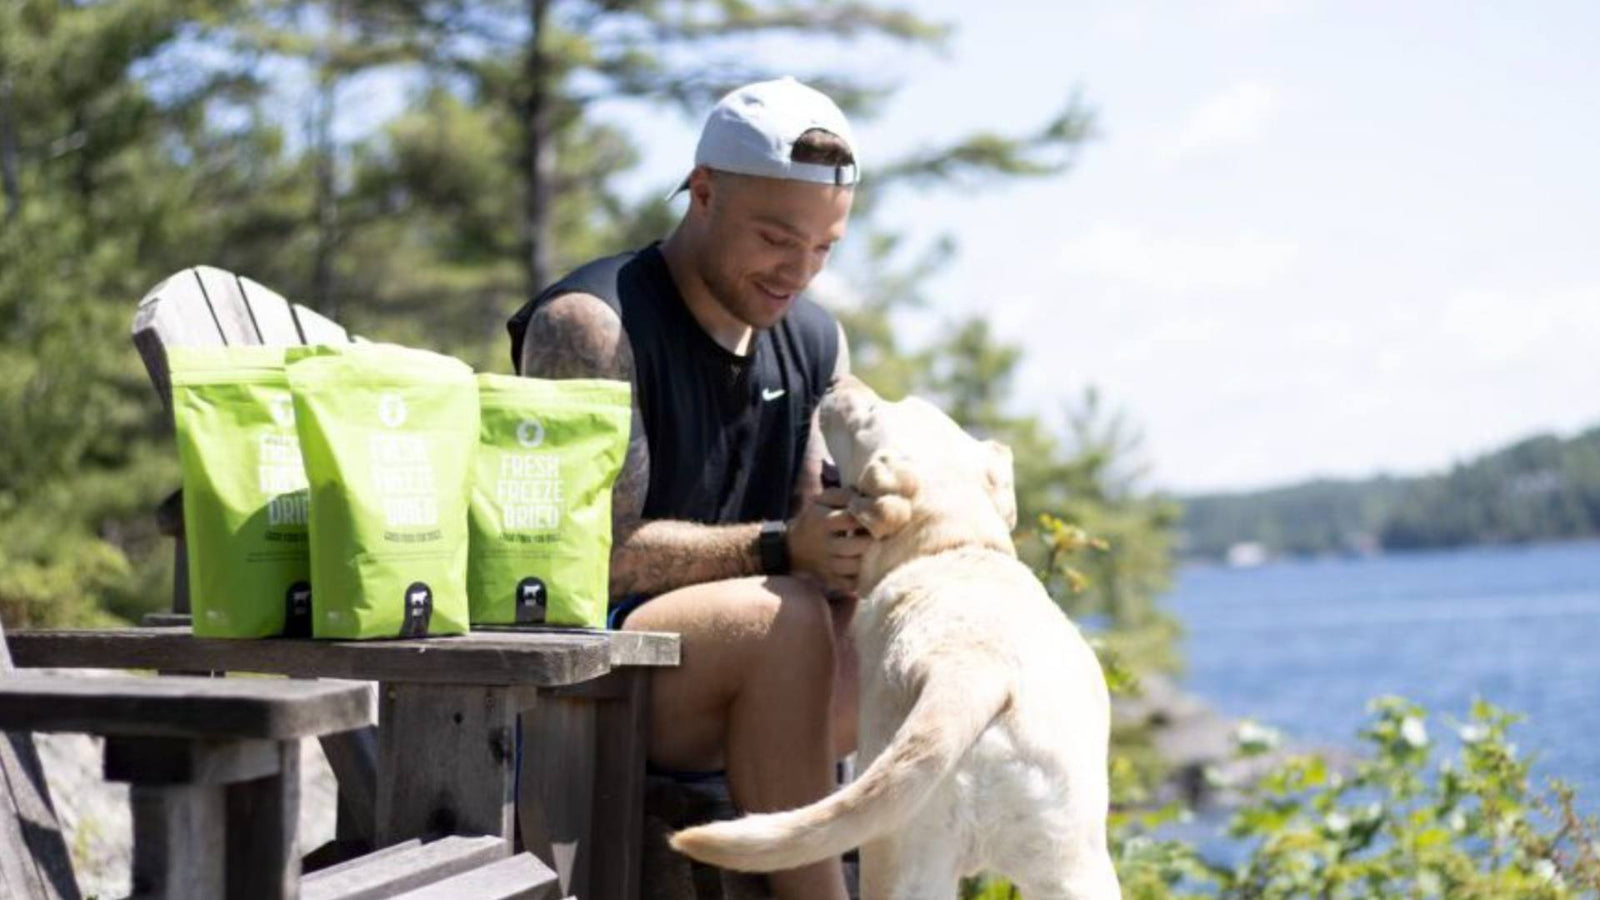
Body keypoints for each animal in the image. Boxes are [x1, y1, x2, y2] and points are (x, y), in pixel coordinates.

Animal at [675, 374, 1126, 896]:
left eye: (870, 415)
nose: (838, 381)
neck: (951, 546)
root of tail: (974, 676)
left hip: (894, 846)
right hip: (1069, 860)